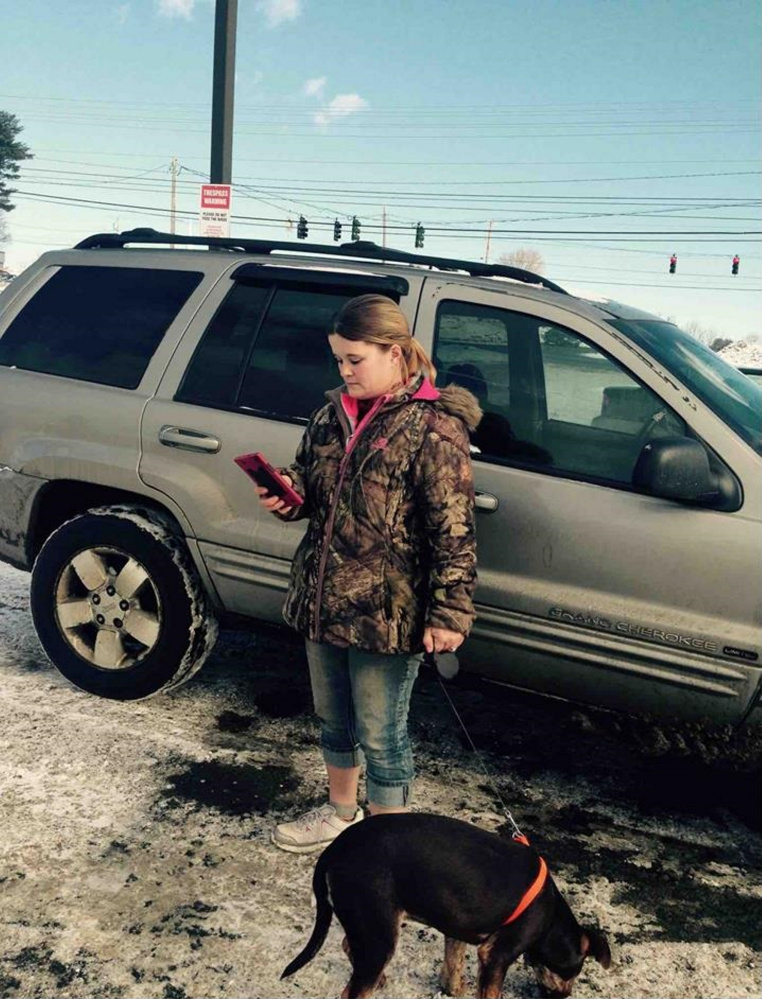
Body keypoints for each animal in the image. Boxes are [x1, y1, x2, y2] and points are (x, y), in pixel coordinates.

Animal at [282, 816, 608, 996]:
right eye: (575, 972)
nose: (566, 996)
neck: (550, 919)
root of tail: (335, 848)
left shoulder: (458, 926)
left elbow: (453, 970)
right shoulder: (496, 956)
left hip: (374, 927)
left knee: (350, 945)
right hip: (379, 933)